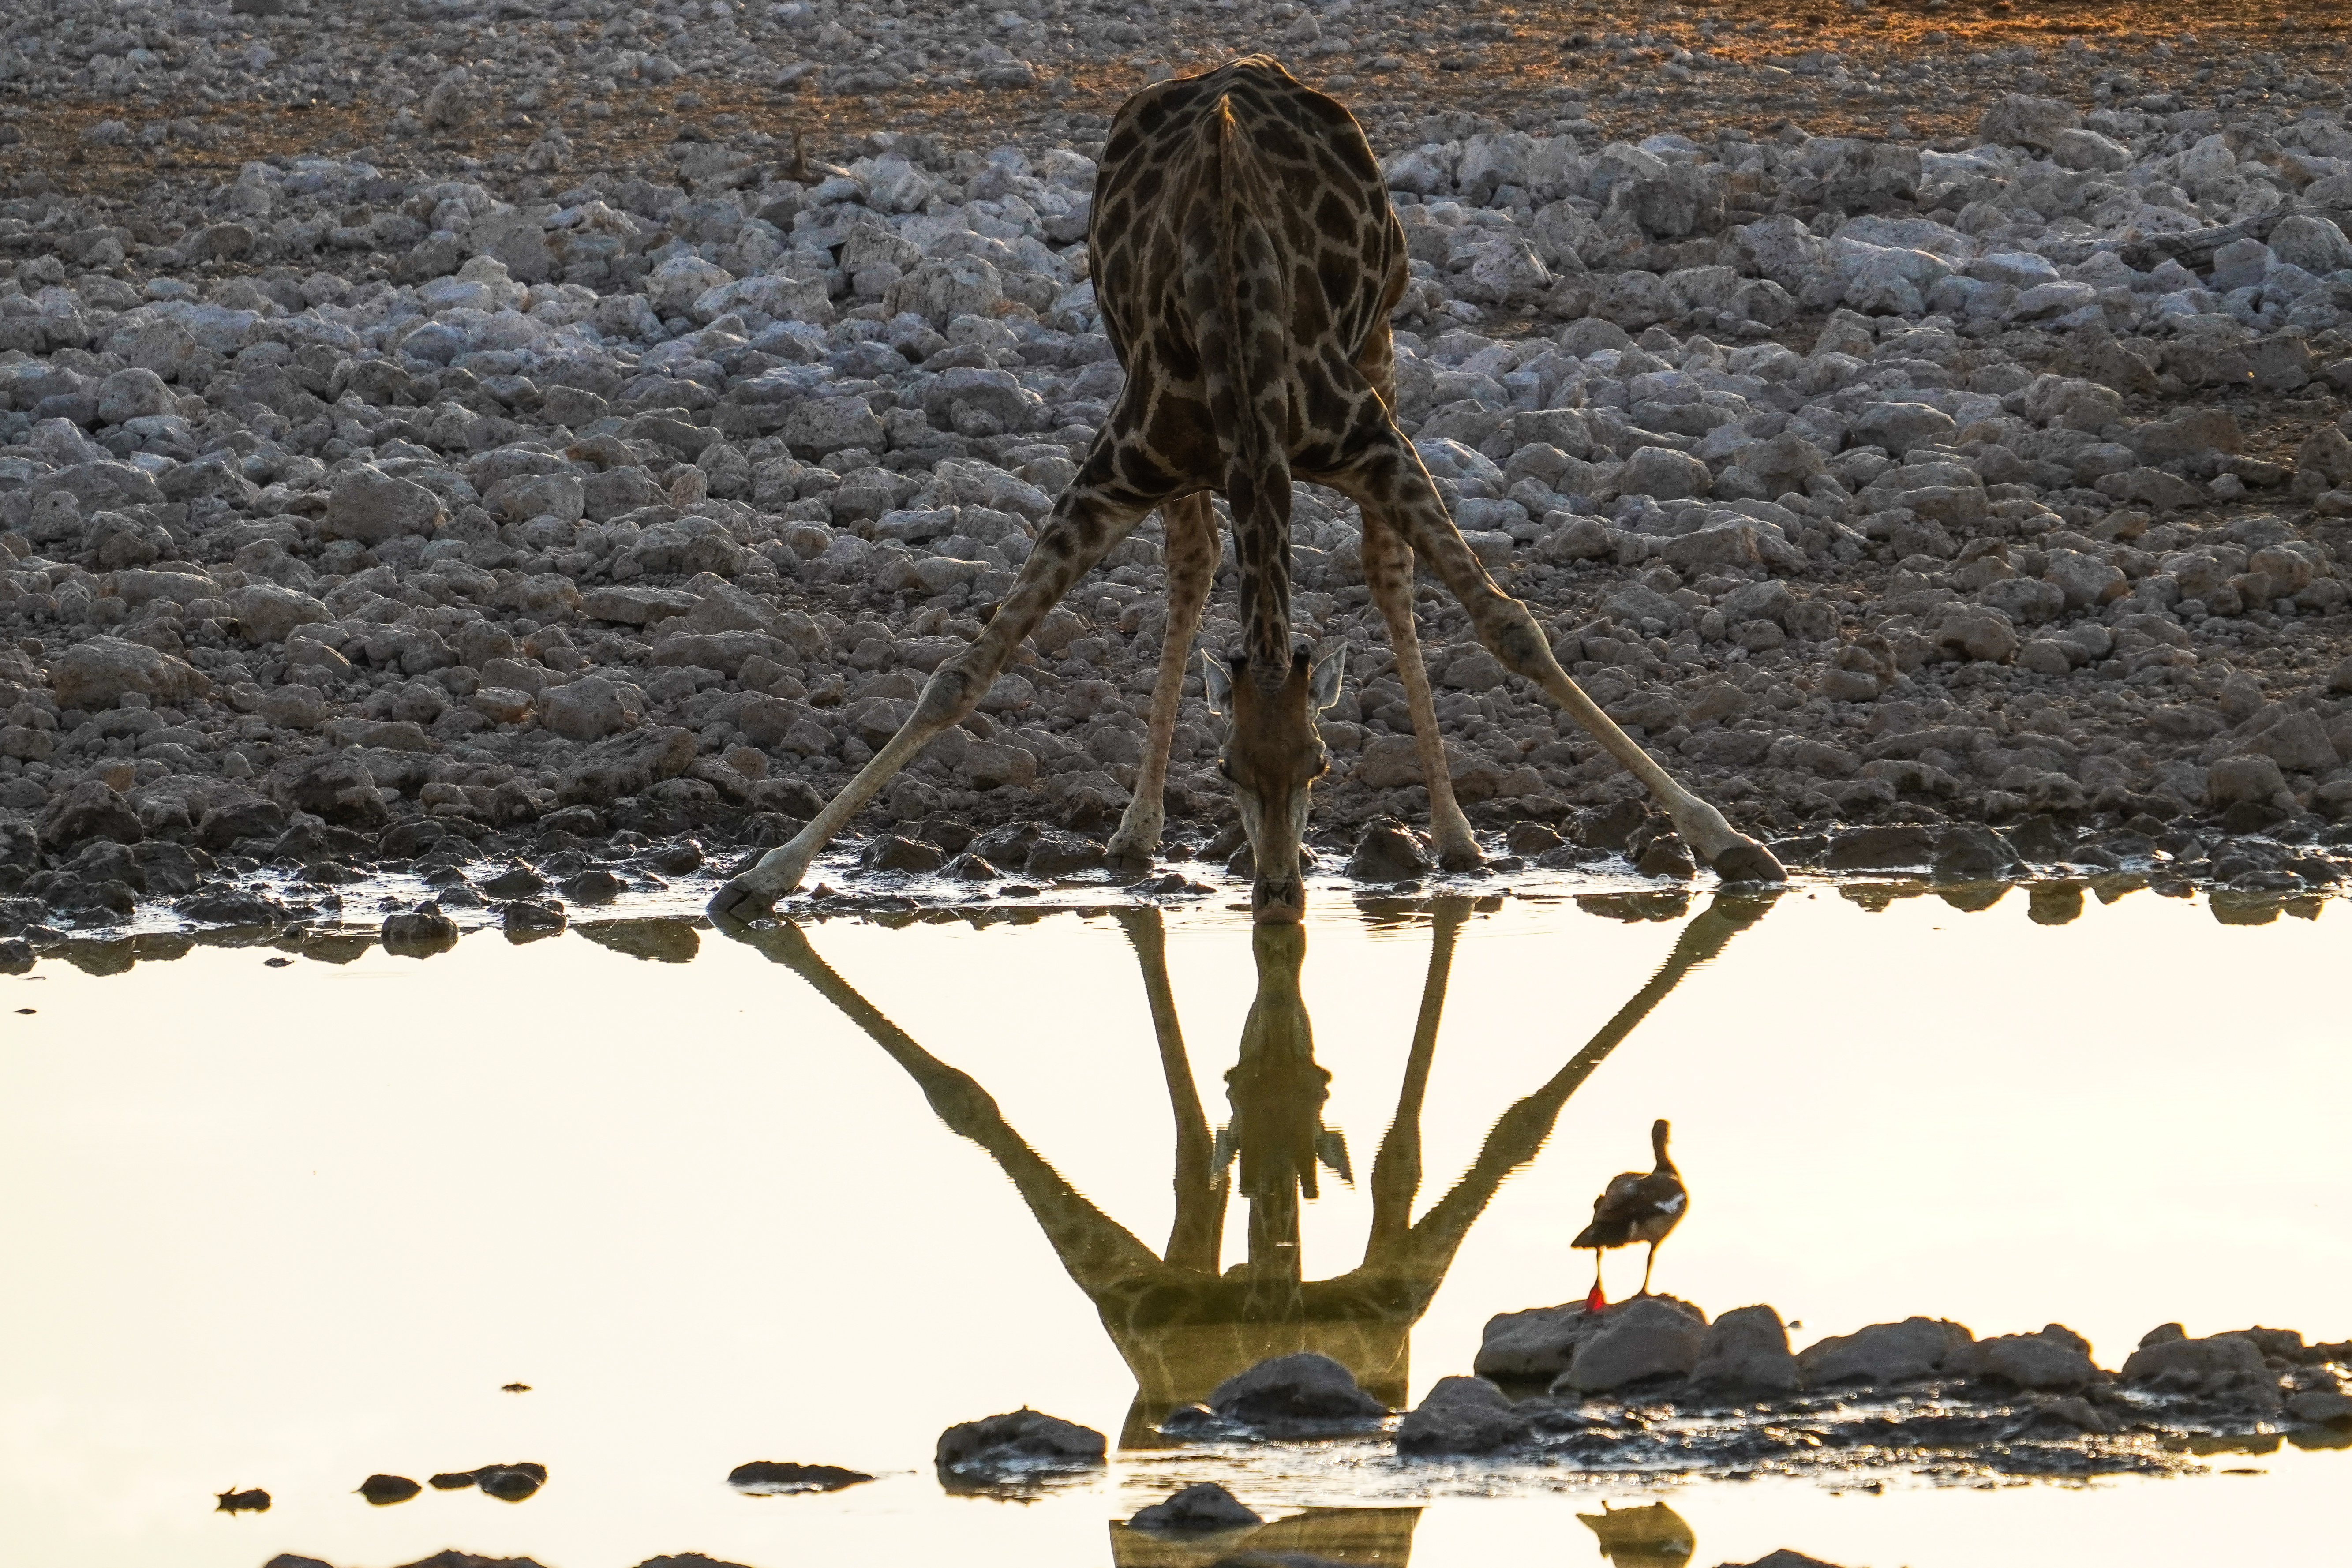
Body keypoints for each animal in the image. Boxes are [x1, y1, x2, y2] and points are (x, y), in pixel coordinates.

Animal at [710, 56, 1783, 926]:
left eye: (1319, 763)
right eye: (1225, 768)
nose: (1275, 895)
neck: (1235, 307)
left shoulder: (1367, 440)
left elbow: (1511, 628)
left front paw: (1729, 842)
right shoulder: (1126, 460)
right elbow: (962, 673)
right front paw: (761, 876)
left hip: (1380, 340)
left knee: (1381, 569)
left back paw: (1454, 837)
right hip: (1160, 408)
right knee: (1194, 564)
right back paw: (1134, 835)